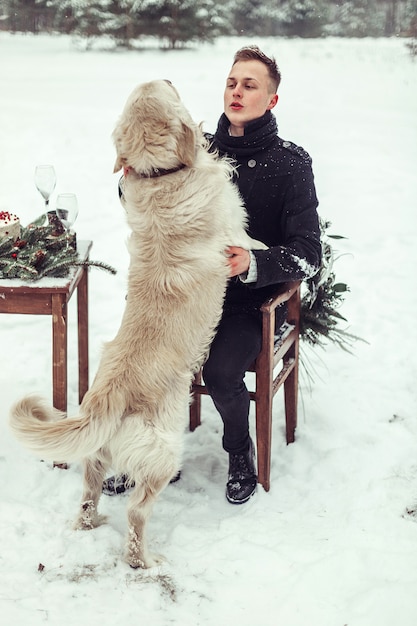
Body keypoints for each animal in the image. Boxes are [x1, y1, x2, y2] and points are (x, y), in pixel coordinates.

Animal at [9, 80, 264, 568]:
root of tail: (105, 399)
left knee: (88, 494)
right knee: (136, 512)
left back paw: (91, 523)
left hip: (98, 458)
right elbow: (251, 239)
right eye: (166, 90)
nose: (166, 77)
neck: (160, 176)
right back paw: (143, 560)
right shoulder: (233, 227)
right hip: (163, 454)